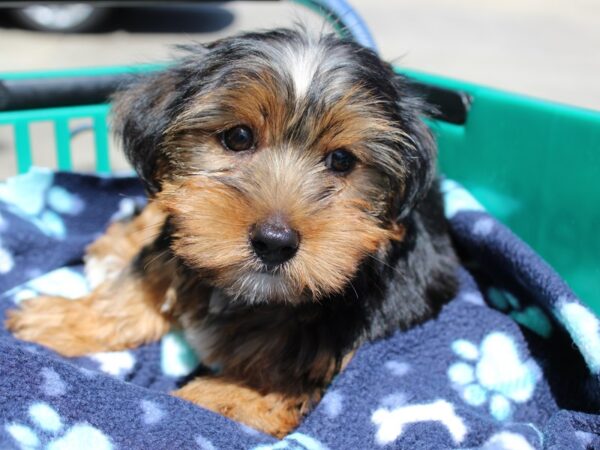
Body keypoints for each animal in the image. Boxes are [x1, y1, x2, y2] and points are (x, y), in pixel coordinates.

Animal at [4, 29, 458, 440]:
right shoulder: (179, 240)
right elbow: (138, 283)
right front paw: (65, 320)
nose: (274, 242)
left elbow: (260, 390)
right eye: (238, 137)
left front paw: (188, 407)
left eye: (342, 161)